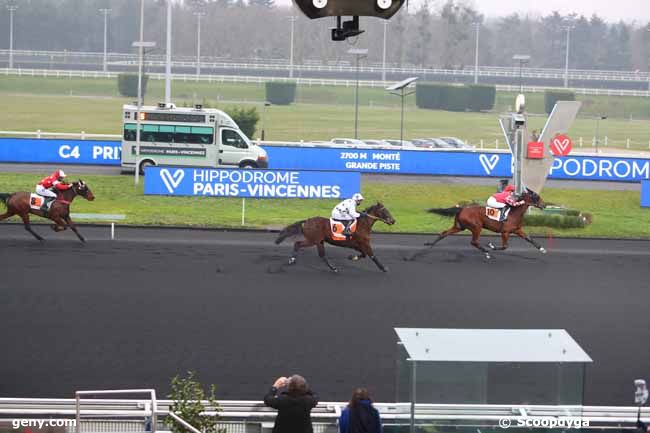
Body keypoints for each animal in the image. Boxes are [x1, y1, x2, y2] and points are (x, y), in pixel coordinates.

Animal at [410, 187, 548, 258]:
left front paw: (542, 249)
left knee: (444, 233)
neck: (514, 212)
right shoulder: (505, 232)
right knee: (474, 241)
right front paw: (491, 246)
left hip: (459, 226)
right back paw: (486, 252)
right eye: (537, 197)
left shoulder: (517, 230)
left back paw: (429, 244)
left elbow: (529, 238)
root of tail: (462, 208)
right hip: (476, 226)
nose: (544, 205)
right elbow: (505, 246)